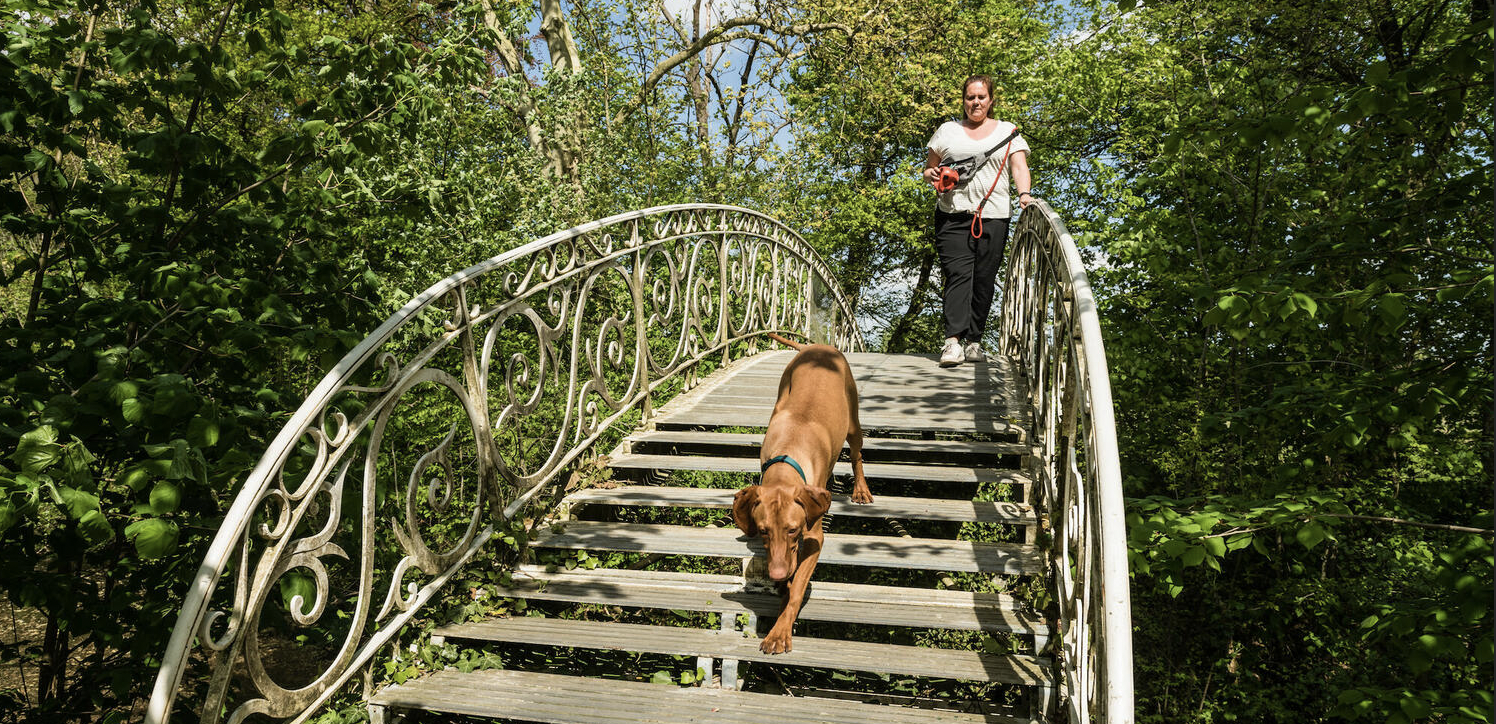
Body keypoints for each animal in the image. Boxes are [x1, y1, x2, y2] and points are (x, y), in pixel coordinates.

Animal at [730, 333, 873, 655]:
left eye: (793, 529)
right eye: (763, 531)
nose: (776, 575)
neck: (788, 452)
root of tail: (816, 346)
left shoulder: (815, 538)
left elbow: (797, 588)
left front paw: (780, 630)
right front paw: (782, 592)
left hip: (853, 421)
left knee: (857, 454)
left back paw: (860, 489)